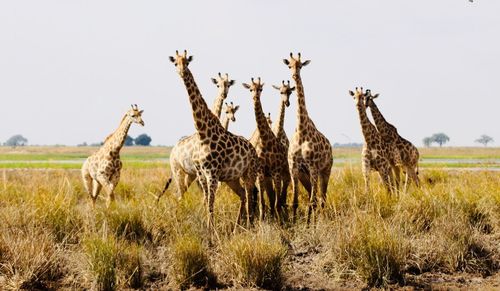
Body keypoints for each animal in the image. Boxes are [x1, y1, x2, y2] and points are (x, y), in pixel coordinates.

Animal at [161, 72, 237, 203]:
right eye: (217, 85)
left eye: (228, 84)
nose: (224, 94)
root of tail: (172, 152)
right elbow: (206, 194)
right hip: (177, 170)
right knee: (179, 193)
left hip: (189, 174)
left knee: (181, 193)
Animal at [170, 50, 260, 230]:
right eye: (175, 62)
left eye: (187, 62)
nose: (182, 72)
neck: (203, 132)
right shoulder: (202, 173)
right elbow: (207, 201)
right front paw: (206, 228)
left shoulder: (212, 173)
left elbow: (210, 202)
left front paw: (211, 231)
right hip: (222, 177)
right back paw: (236, 228)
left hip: (248, 172)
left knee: (249, 196)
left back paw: (246, 226)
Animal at [243, 77, 290, 221]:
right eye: (250, 89)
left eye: (261, 89)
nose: (255, 97)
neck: (265, 140)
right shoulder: (261, 173)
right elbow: (263, 203)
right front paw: (262, 221)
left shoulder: (276, 172)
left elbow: (276, 202)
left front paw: (281, 223)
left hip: (282, 174)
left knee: (278, 197)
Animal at [284, 53, 334, 224]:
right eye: (289, 65)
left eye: (300, 65)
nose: (294, 75)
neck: (301, 131)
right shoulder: (294, 168)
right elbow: (295, 202)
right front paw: (293, 225)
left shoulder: (313, 167)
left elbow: (312, 202)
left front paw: (308, 227)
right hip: (305, 176)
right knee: (317, 199)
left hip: (325, 171)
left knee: (322, 199)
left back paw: (320, 221)